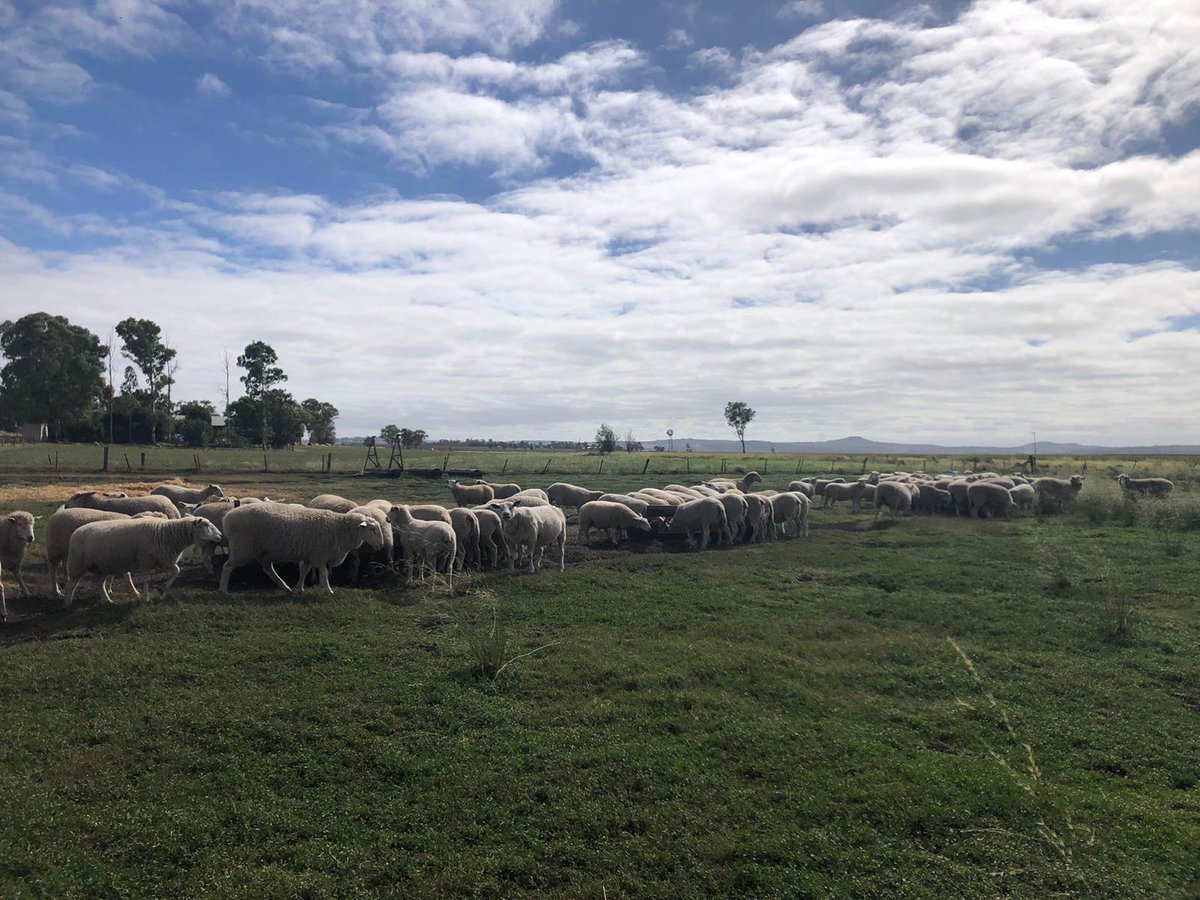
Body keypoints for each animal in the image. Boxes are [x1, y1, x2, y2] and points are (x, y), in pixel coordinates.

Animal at [65, 516, 223, 605]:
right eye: (206, 525)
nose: (220, 535)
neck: (166, 533)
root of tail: (75, 532)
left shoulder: (164, 559)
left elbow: (177, 571)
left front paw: (162, 588)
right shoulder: (146, 560)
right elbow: (146, 580)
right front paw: (146, 597)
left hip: (102, 566)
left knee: (100, 584)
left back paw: (107, 600)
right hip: (77, 564)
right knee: (71, 584)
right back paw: (68, 603)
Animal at [218, 505, 384, 594]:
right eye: (373, 529)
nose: (381, 546)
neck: (339, 528)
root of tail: (227, 518)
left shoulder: (310, 555)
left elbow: (304, 571)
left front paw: (299, 587)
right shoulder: (320, 554)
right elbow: (324, 573)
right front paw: (328, 589)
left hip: (261, 551)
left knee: (268, 569)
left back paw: (284, 586)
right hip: (242, 547)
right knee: (227, 566)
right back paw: (223, 590)